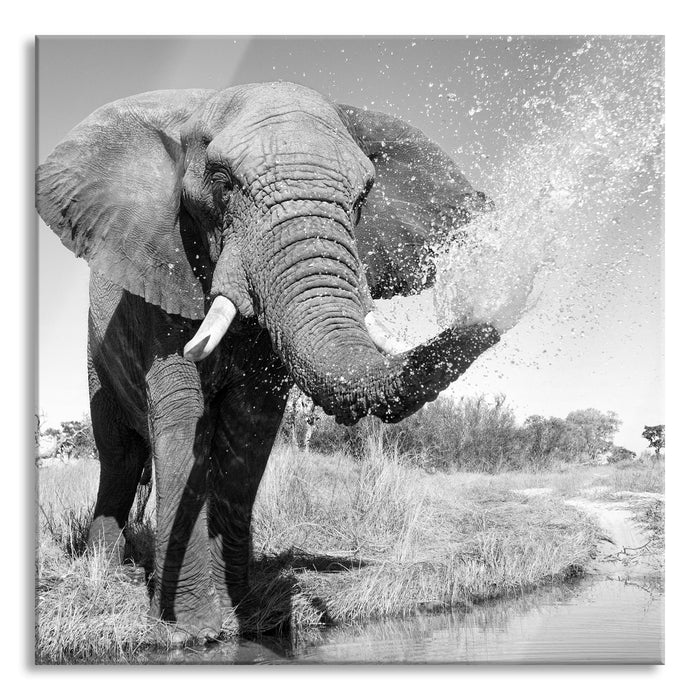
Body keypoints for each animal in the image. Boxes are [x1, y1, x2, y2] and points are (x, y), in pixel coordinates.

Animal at [36, 82, 499, 643]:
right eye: (222, 182)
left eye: (363, 197)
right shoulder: (159, 279)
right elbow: (182, 417)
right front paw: (193, 629)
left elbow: (250, 426)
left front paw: (248, 616)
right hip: (94, 354)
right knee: (119, 454)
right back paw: (103, 567)